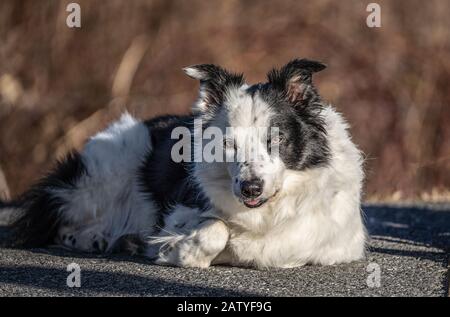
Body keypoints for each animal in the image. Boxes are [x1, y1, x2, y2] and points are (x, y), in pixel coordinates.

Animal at [0, 58, 366, 266]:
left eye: (275, 140)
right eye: (228, 144)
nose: (250, 188)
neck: (268, 210)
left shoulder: (336, 242)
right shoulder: (179, 210)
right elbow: (216, 228)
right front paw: (182, 251)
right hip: (109, 166)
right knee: (58, 215)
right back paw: (93, 238)